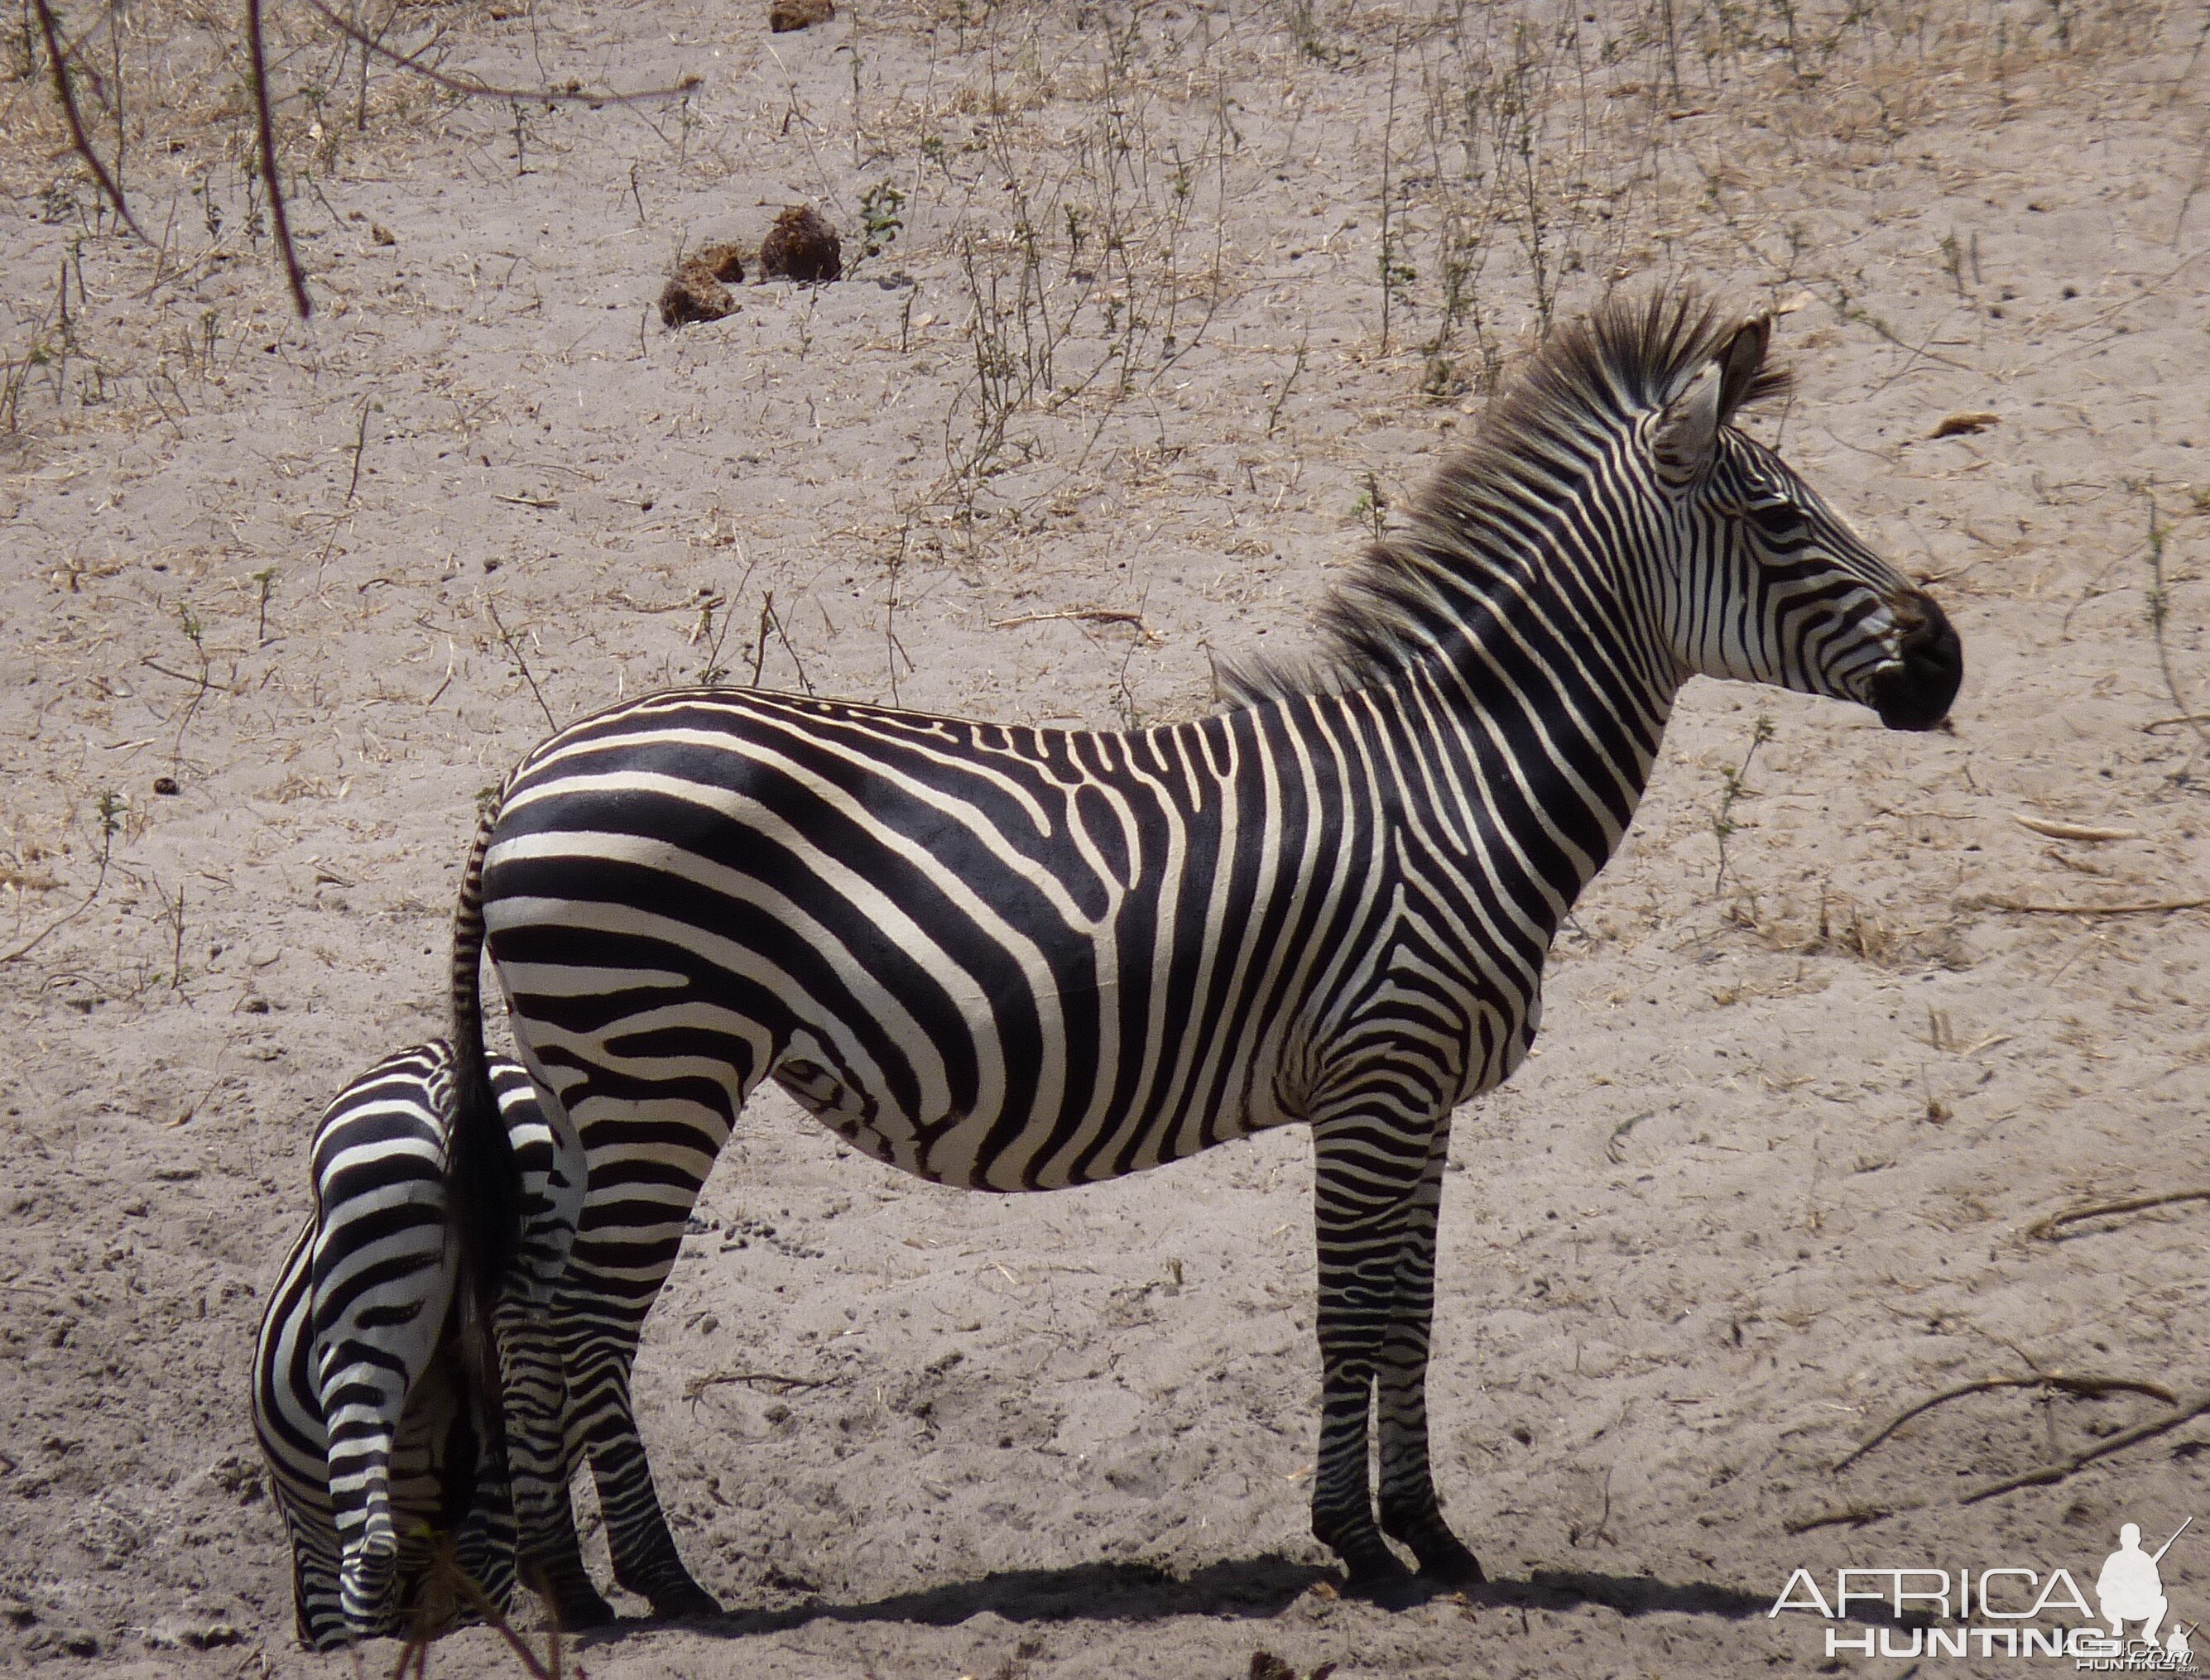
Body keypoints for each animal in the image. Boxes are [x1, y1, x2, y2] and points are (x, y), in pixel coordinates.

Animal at [440, 291, 1962, 1618]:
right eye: (1779, 517)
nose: (1946, 659)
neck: (1467, 783)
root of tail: (525, 773)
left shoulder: (1416, 1094)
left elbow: (1407, 1311)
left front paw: (1430, 1533)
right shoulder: (1378, 1072)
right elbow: (1350, 1310)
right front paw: (1360, 1544)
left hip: (587, 1077)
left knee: (527, 1306)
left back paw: (567, 1583)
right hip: (663, 1061)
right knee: (587, 1317)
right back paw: (665, 1582)